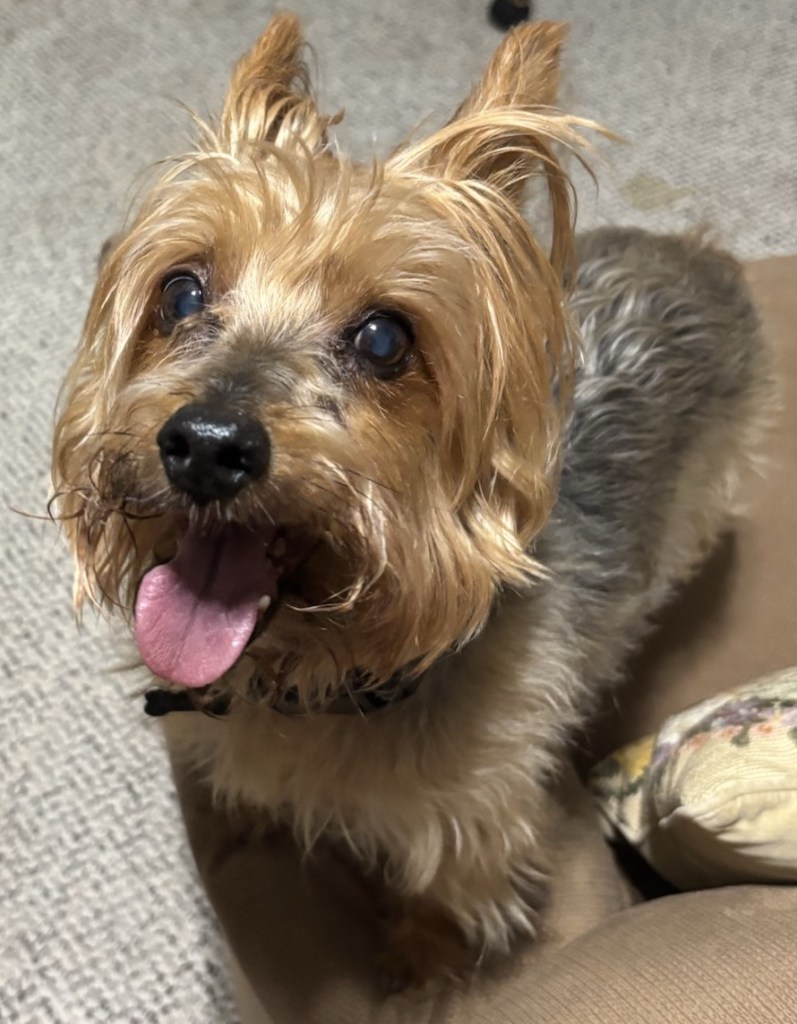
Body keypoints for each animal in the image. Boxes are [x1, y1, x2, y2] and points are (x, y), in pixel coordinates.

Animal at [52, 15, 771, 985]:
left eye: (385, 340)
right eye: (181, 291)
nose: (204, 446)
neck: (320, 673)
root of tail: (697, 253)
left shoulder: (469, 823)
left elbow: (443, 895)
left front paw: (419, 970)